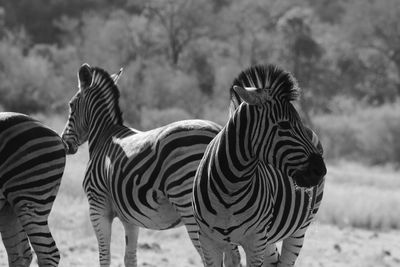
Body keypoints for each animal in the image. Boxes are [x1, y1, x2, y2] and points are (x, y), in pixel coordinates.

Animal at [60, 63, 241, 266]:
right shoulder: (129, 217)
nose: (65, 144)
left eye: (71, 105)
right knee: (233, 257)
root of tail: (220, 131)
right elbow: (130, 258)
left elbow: (104, 257)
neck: (104, 136)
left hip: (191, 206)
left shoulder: (98, 207)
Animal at [192, 65, 326, 267]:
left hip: (298, 230)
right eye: (284, 125)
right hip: (267, 238)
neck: (230, 188)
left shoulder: (255, 242)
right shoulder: (208, 241)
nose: (321, 170)